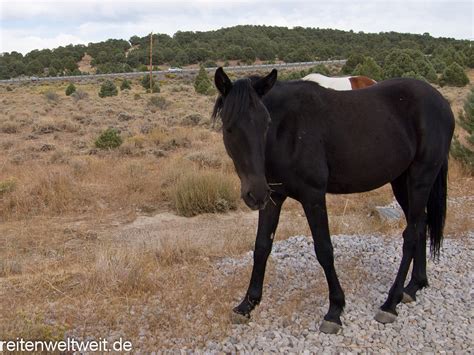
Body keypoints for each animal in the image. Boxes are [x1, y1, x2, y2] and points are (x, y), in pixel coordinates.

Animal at [212, 66, 456, 334]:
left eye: (266, 123)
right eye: (228, 127)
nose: (254, 193)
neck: (288, 130)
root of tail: (440, 100)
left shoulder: (313, 196)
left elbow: (324, 249)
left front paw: (335, 310)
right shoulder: (274, 196)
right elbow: (261, 247)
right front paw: (247, 304)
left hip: (421, 178)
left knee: (411, 233)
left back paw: (391, 303)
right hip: (402, 181)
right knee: (421, 224)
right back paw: (413, 286)